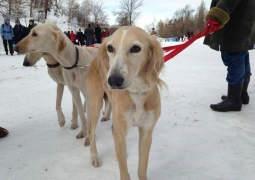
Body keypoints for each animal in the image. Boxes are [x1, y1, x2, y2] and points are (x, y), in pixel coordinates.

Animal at [85, 26, 165, 180]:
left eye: (135, 48)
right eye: (110, 48)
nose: (113, 81)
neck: (137, 92)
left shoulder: (146, 132)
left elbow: (142, 169)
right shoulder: (121, 131)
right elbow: (124, 172)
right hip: (95, 105)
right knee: (92, 131)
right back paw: (94, 156)